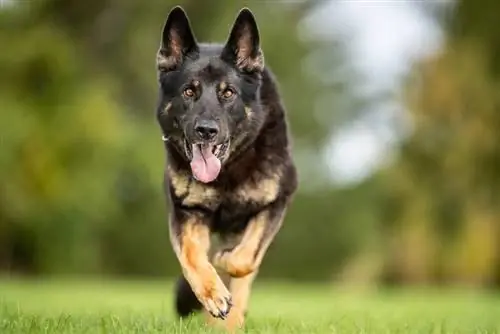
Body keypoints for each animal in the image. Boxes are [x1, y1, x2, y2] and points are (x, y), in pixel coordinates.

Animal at [155, 5, 296, 332]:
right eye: (189, 92)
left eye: (228, 93)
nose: (206, 131)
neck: (229, 169)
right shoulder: (187, 213)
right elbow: (192, 257)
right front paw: (212, 293)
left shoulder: (275, 203)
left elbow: (244, 259)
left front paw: (222, 260)